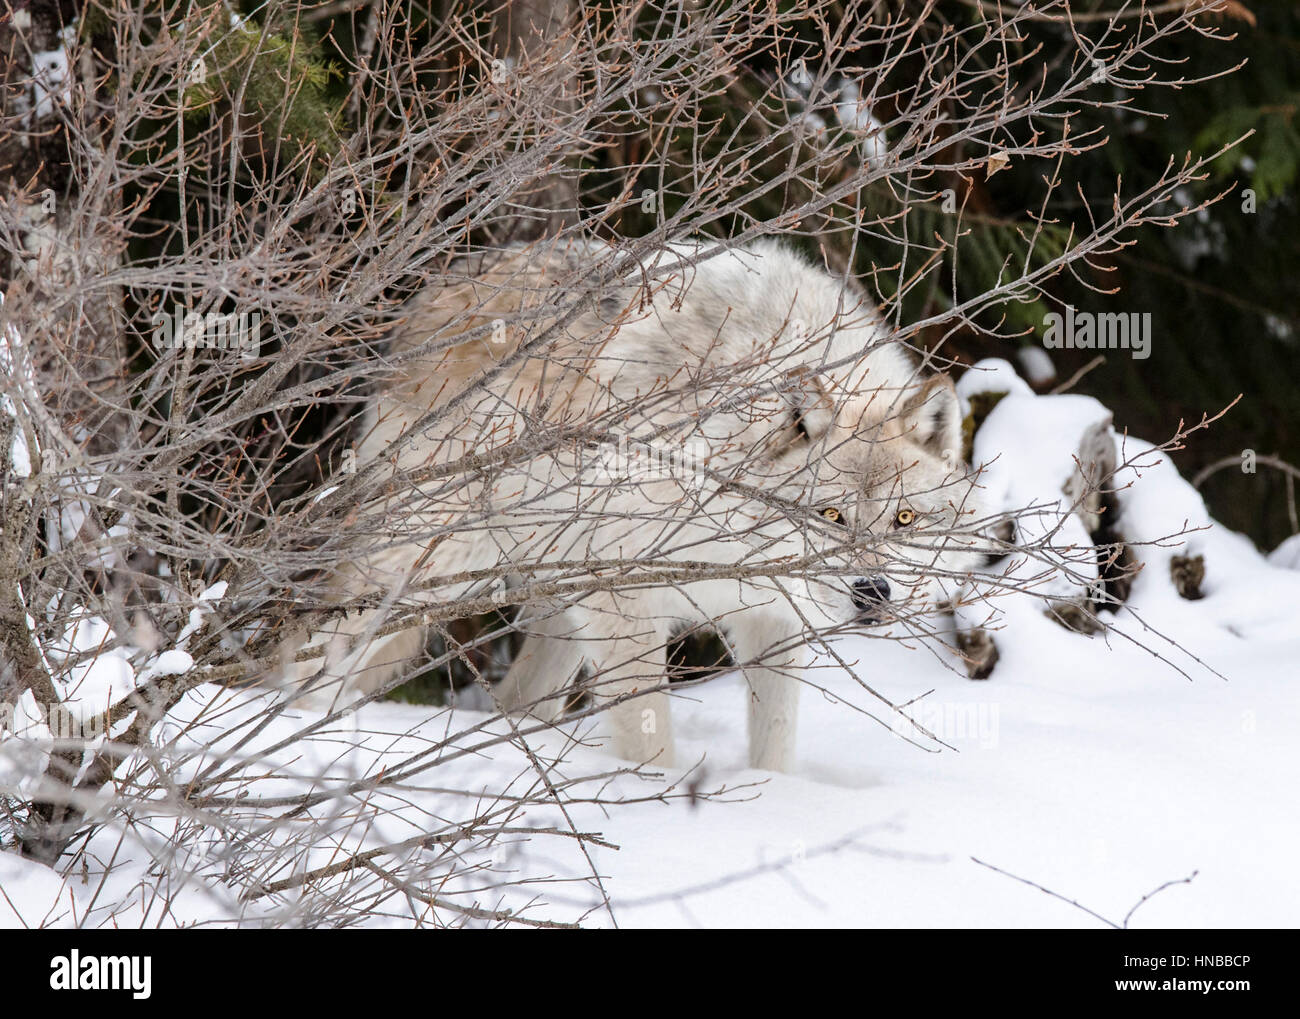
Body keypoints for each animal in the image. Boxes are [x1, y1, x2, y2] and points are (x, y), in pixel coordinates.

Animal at [290, 238, 989, 772]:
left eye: (904, 519)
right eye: (830, 515)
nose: (873, 593)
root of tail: (435, 291)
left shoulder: (772, 621)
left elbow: (776, 746)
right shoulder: (624, 603)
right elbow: (651, 739)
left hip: (556, 602)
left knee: (516, 701)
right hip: (422, 577)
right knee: (307, 664)